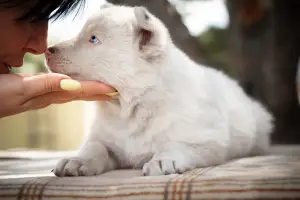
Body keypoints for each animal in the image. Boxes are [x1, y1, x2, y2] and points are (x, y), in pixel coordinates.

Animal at [45, 3, 274, 177]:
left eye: (93, 39)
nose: (48, 50)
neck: (131, 107)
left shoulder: (209, 141)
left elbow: (176, 144)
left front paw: (163, 161)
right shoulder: (104, 139)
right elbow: (95, 146)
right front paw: (77, 160)